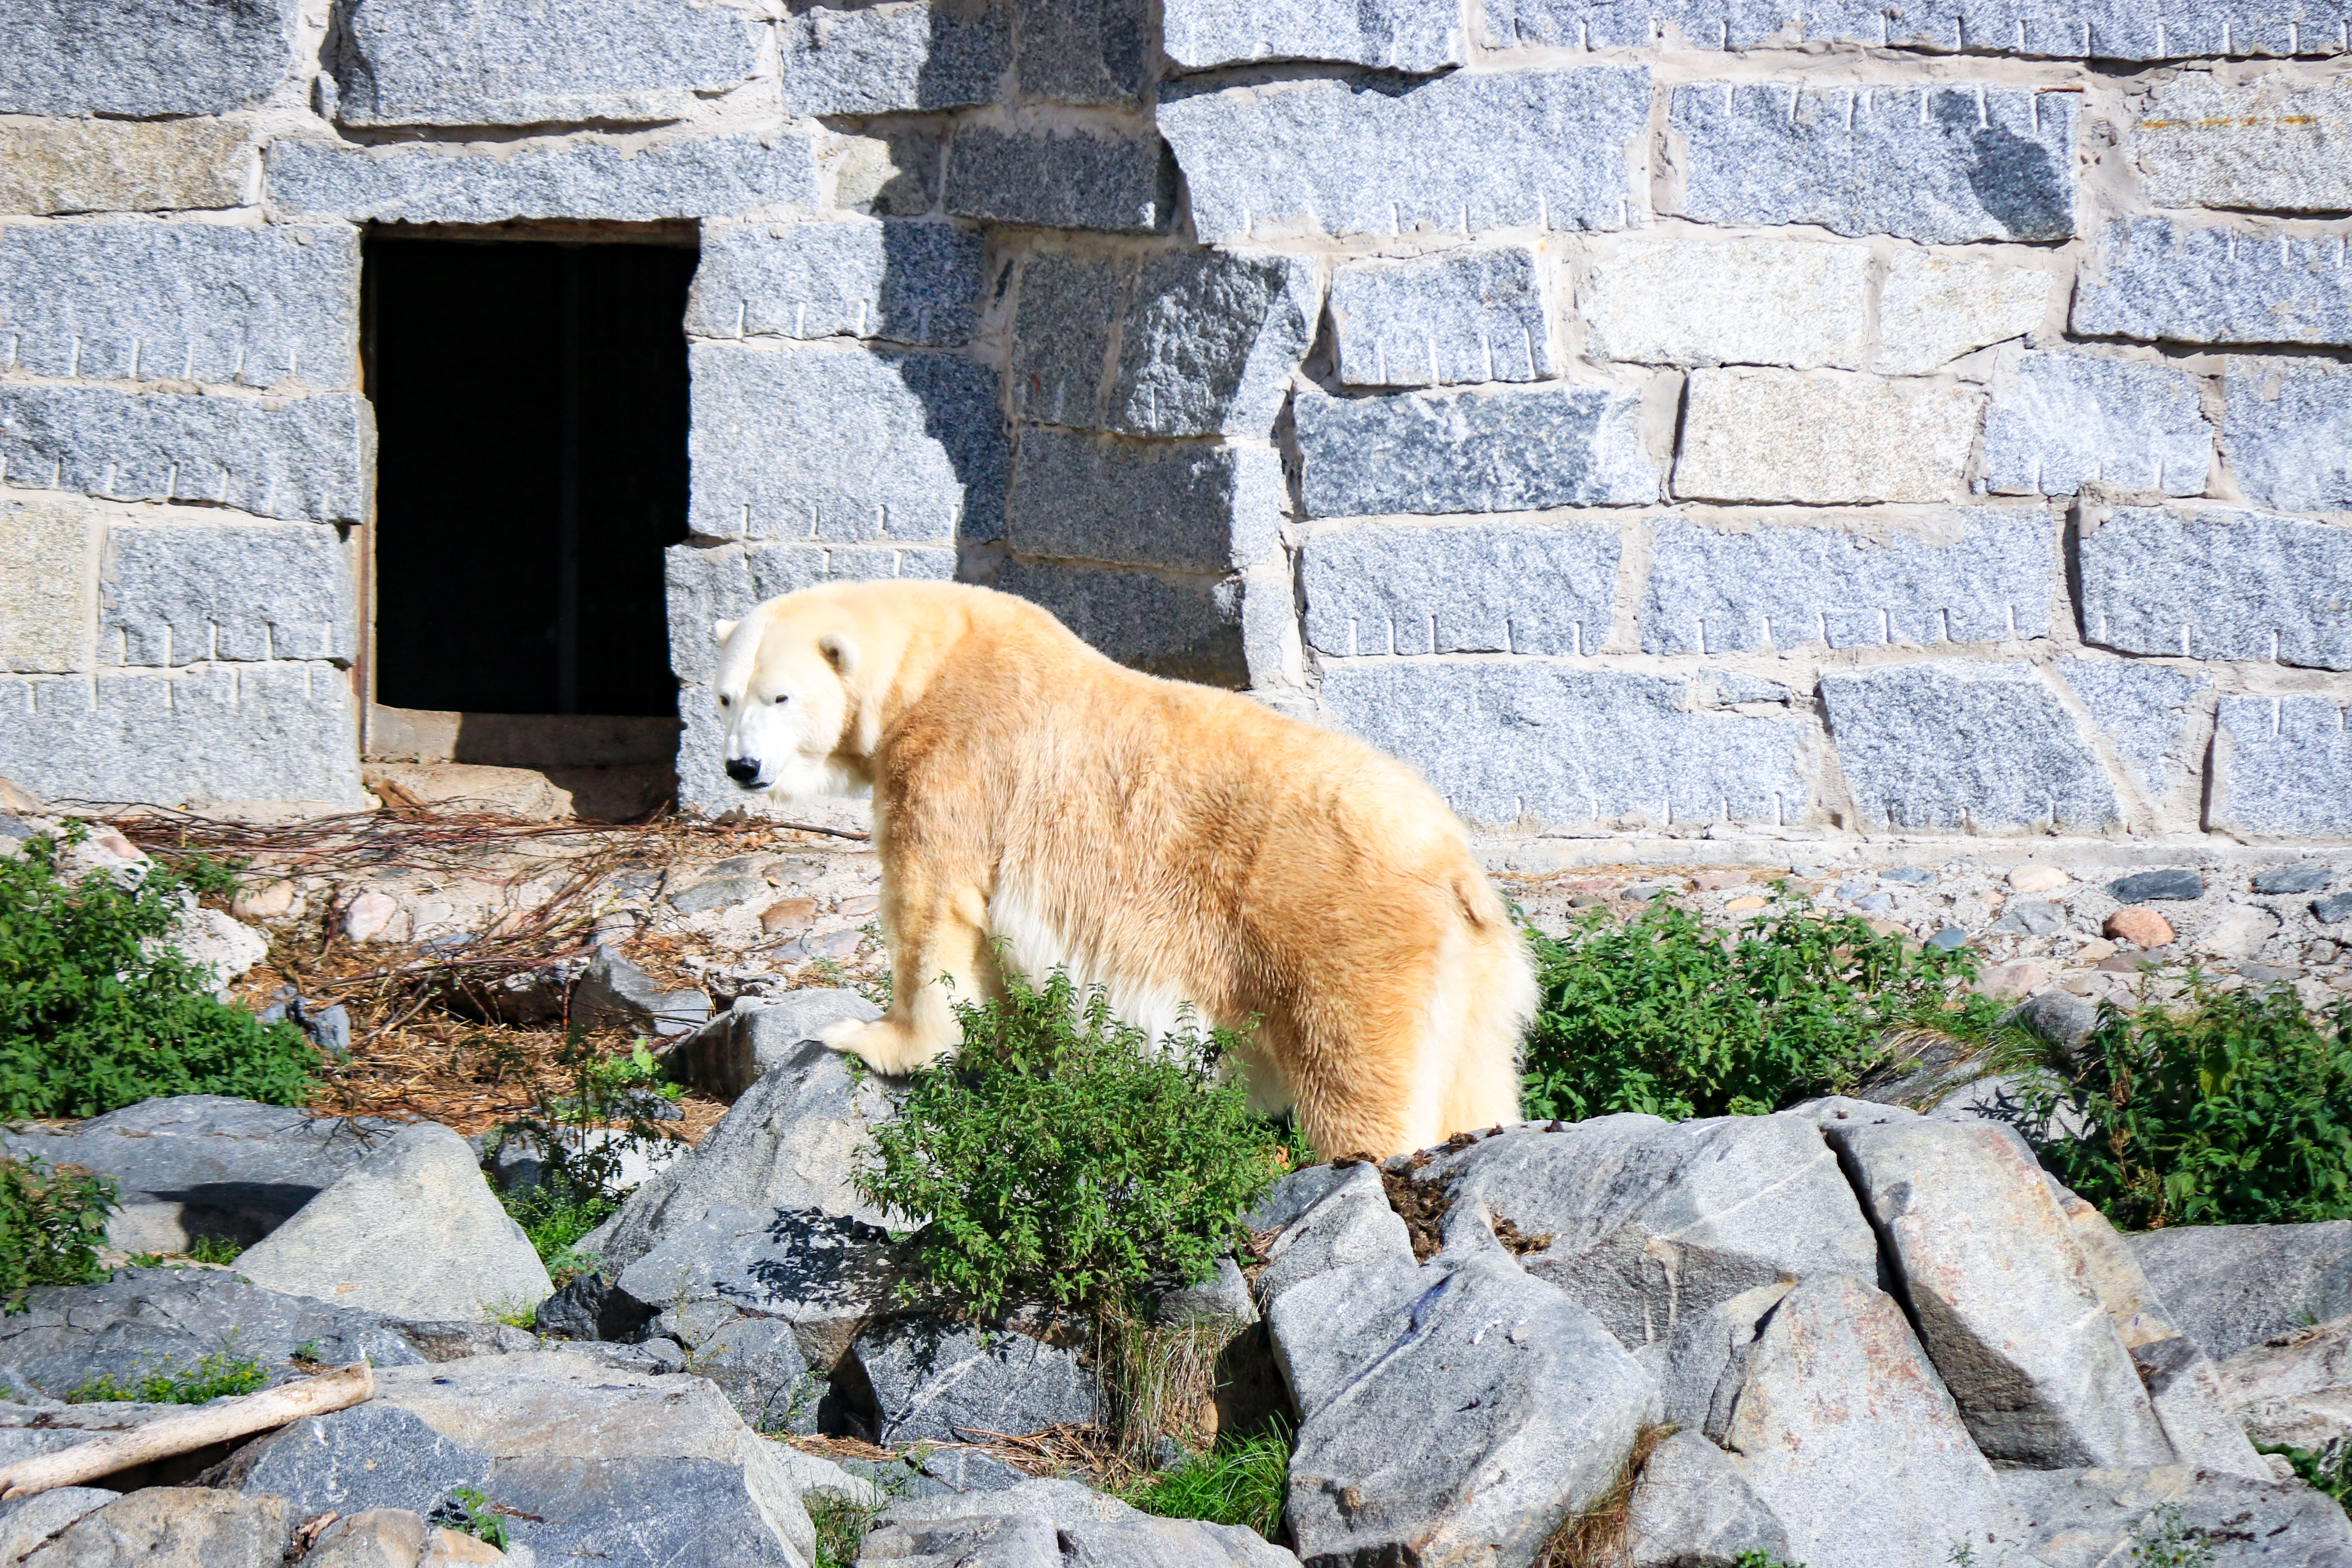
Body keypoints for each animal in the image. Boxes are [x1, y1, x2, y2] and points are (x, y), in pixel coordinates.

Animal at [710, 579, 1534, 1159]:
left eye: (780, 696)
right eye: (724, 696)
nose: (741, 766)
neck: (932, 664)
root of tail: (1455, 865)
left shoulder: (956, 764)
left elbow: (933, 913)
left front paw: (868, 1037)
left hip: (1347, 934)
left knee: (1362, 1078)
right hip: (1476, 973)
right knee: (1474, 1078)